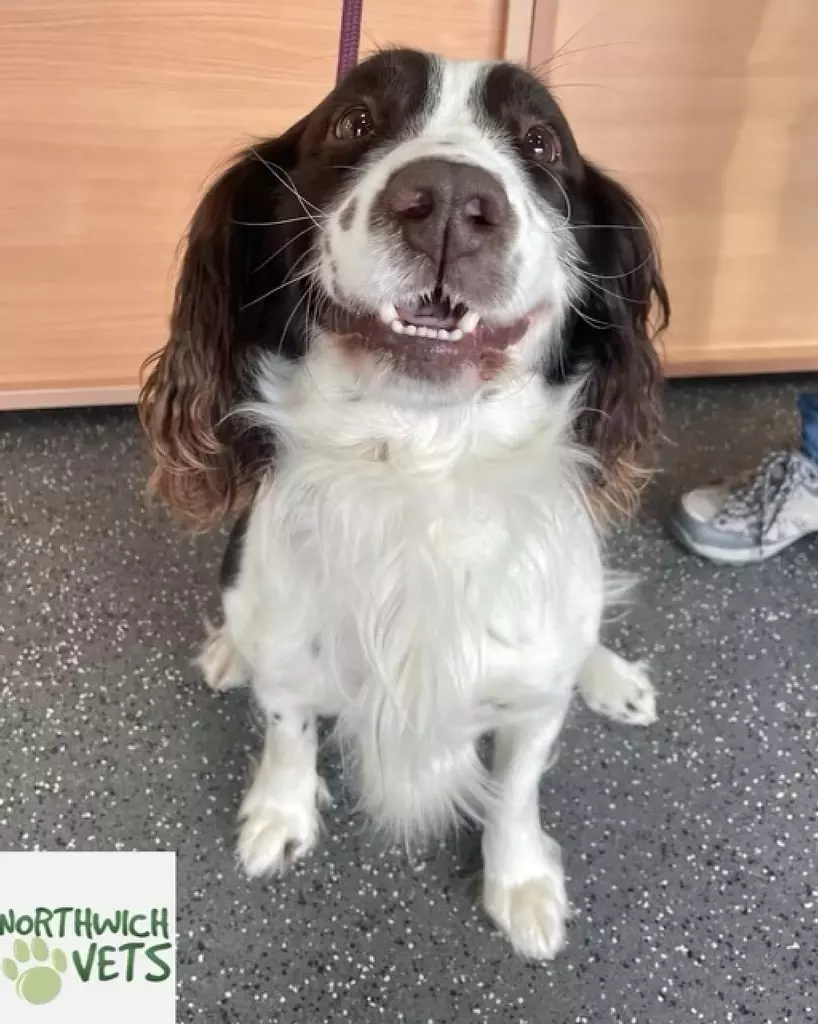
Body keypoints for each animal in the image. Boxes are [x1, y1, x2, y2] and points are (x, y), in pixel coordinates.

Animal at [139, 48, 663, 958]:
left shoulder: (530, 699)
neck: (420, 461)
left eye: (540, 142)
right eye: (353, 122)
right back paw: (228, 652)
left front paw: (519, 882)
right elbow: (287, 728)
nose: (449, 201)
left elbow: (517, 789)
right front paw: (279, 814)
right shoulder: (290, 650)